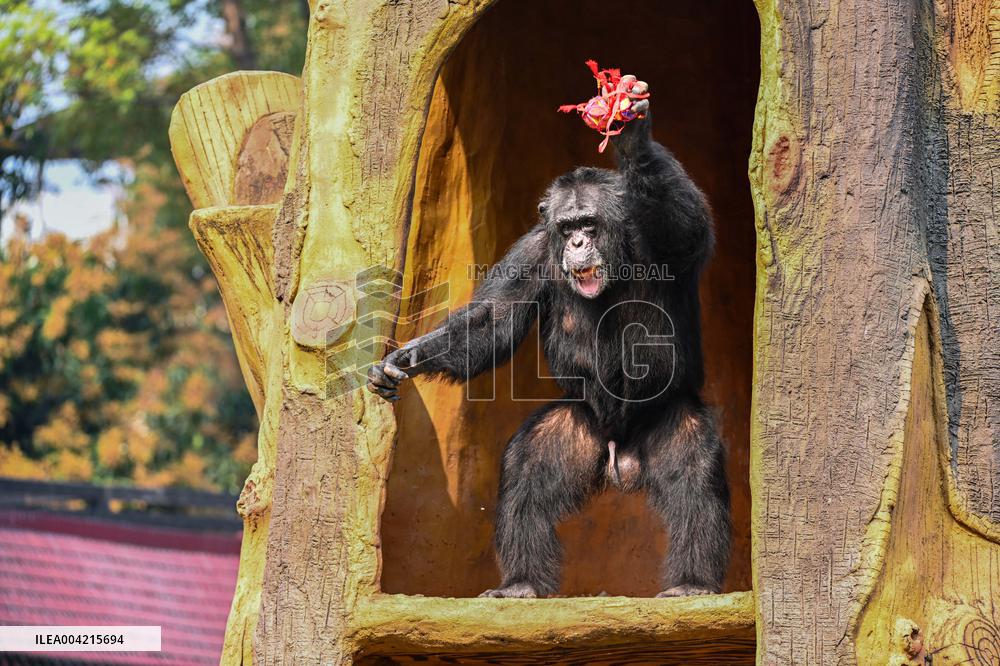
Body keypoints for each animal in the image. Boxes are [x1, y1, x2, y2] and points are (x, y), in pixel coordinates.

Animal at [368, 76, 730, 598]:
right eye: (566, 226)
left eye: (589, 223)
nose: (577, 242)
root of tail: (620, 452)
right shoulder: (531, 253)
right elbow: (492, 321)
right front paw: (409, 356)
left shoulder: (670, 239)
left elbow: (682, 219)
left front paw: (631, 135)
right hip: (576, 428)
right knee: (528, 471)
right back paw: (521, 582)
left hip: (666, 418)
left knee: (694, 467)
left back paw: (692, 583)